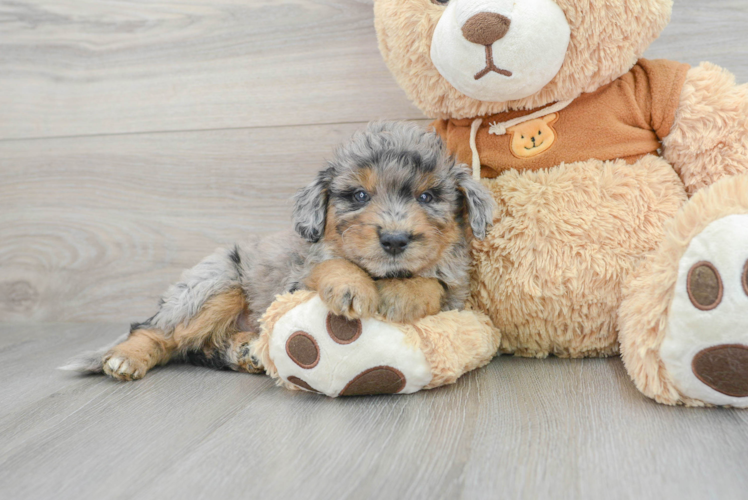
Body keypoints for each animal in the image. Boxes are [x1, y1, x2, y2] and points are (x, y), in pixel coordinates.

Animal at [65, 123, 496, 380]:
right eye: (359, 195)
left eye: (427, 197)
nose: (394, 240)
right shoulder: (296, 277)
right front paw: (351, 287)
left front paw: (403, 296)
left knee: (196, 347)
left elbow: (433, 285)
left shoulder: (455, 291)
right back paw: (127, 358)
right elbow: (331, 264)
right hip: (216, 284)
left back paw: (245, 352)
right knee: (158, 331)